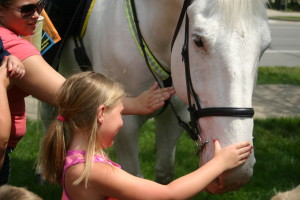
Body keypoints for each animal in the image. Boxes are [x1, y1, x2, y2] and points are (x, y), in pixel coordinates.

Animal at [58, 0, 272, 194]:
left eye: (265, 47)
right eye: (197, 41)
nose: (237, 172)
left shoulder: (173, 119)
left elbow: (165, 174)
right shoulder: (124, 125)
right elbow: (132, 177)